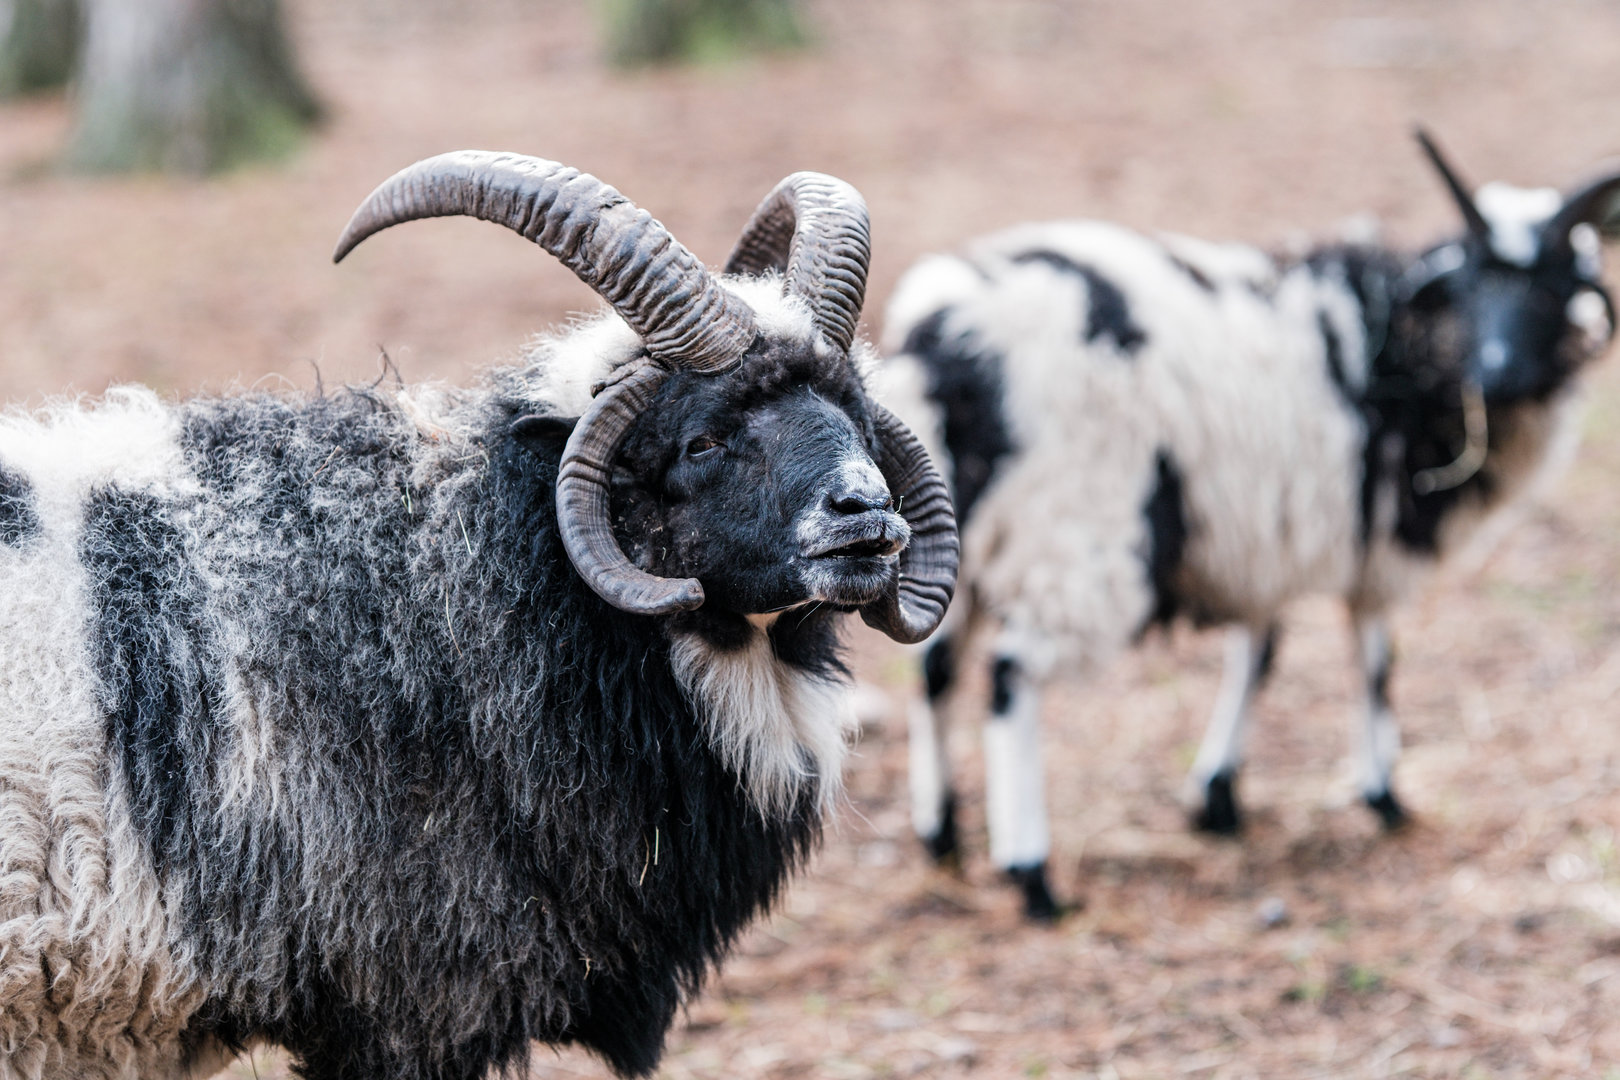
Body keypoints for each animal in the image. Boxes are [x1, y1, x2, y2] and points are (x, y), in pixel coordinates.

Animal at [879, 131, 1620, 920]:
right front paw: (1384, 796)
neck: (1398, 348)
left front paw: (1218, 799)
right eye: (1474, 286)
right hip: (1079, 532)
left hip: (963, 531)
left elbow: (1259, 653)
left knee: (936, 669)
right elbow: (1374, 661)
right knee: (1011, 677)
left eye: (1553, 288)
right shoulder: (1373, 546)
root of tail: (941, 340)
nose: (1498, 376)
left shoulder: (1259, 542)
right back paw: (1033, 875)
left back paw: (942, 837)